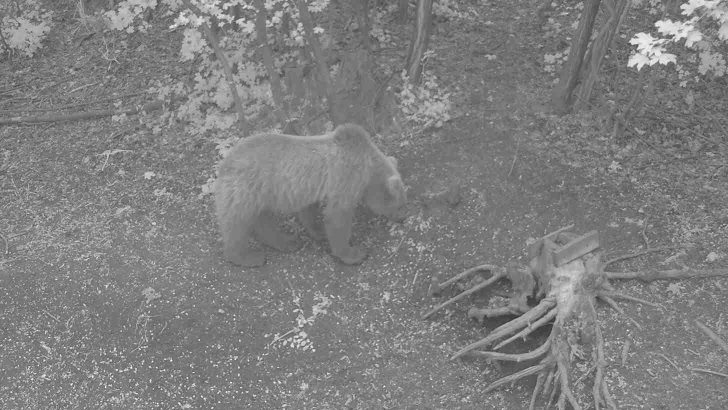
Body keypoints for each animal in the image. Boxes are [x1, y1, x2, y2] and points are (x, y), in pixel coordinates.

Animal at [215, 123, 410, 268]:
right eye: (401, 204)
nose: (404, 217)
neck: (369, 169)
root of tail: (223, 166)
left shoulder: (308, 187)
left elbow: (309, 210)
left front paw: (318, 231)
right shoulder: (346, 176)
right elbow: (338, 215)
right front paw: (355, 253)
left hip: (262, 194)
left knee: (263, 219)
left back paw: (288, 242)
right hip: (245, 190)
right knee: (237, 224)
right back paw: (249, 257)